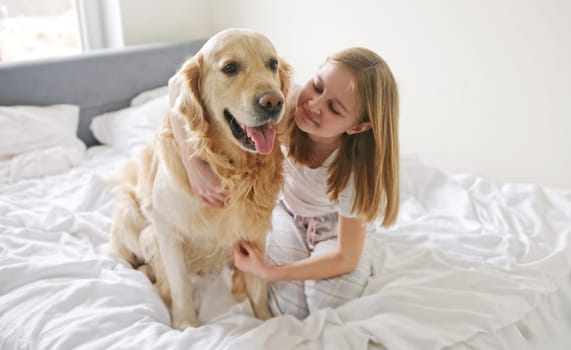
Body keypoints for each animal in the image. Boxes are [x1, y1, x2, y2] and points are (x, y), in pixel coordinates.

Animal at [110, 28, 292, 330]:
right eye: (230, 68)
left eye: (272, 64)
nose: (274, 102)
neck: (228, 170)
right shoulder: (165, 228)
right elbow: (180, 283)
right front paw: (186, 325)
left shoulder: (253, 231)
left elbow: (257, 287)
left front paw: (266, 321)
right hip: (127, 211)